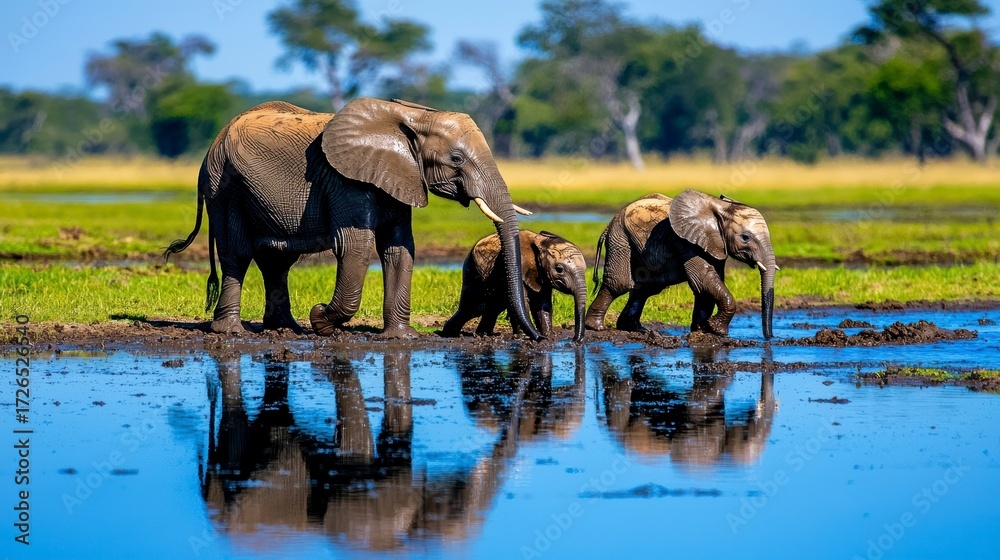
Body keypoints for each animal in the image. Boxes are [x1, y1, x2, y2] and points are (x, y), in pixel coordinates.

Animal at [164, 97, 541, 340]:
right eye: (457, 159)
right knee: (237, 254)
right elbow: (354, 247)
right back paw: (231, 332)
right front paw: (321, 320)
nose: (536, 338)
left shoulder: (398, 174)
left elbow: (399, 248)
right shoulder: (345, 179)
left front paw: (402, 338)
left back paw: (285, 329)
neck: (411, 116)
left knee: (277, 260)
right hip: (223, 185)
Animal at [442, 230, 589, 341]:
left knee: (490, 308)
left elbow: (542, 304)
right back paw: (450, 334)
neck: (540, 242)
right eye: (559, 269)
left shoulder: (543, 274)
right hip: (472, 272)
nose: (575, 339)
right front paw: (523, 337)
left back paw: (482, 334)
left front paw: (548, 336)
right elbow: (521, 301)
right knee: (473, 307)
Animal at [585, 189, 778, 339]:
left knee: (645, 287)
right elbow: (704, 279)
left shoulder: (714, 244)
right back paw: (595, 327)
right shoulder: (686, 242)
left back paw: (635, 329)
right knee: (621, 283)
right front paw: (717, 331)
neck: (720, 208)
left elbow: (705, 286)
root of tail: (609, 224)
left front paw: (702, 331)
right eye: (745, 237)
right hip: (620, 239)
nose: (769, 338)